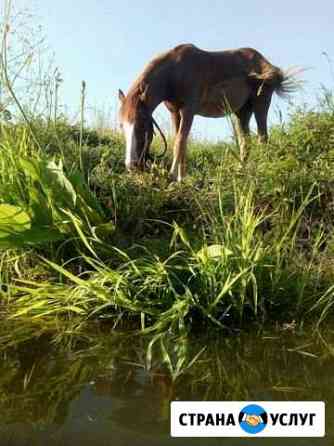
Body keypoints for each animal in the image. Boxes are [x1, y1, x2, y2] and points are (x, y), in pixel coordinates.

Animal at [118, 43, 298, 179]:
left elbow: (179, 142)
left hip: (261, 104)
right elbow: (180, 141)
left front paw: (173, 176)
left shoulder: (188, 111)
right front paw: (181, 178)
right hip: (242, 112)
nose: (131, 165)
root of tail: (268, 65)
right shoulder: (175, 113)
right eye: (122, 126)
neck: (174, 72)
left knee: (262, 137)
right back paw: (242, 171)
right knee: (245, 142)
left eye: (142, 124)